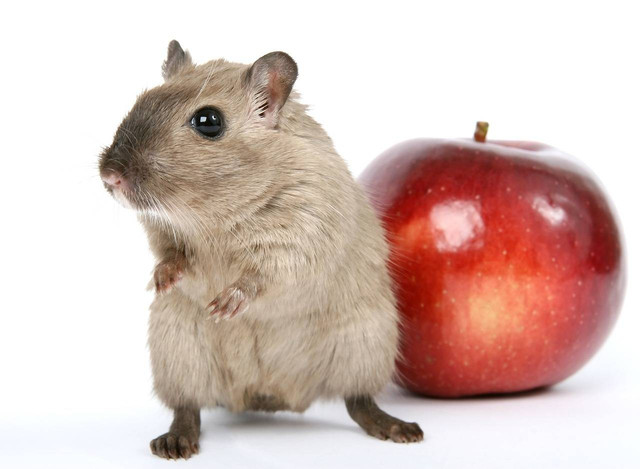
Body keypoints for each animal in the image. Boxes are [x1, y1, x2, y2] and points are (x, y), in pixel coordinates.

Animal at [99, 40, 423, 459]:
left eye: (209, 121)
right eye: (141, 99)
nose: (109, 177)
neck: (212, 213)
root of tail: (273, 396)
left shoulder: (302, 232)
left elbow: (265, 274)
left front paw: (226, 305)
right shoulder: (163, 231)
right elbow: (171, 253)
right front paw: (163, 279)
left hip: (366, 344)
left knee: (358, 401)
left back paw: (398, 428)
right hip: (177, 352)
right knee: (187, 406)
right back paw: (174, 441)